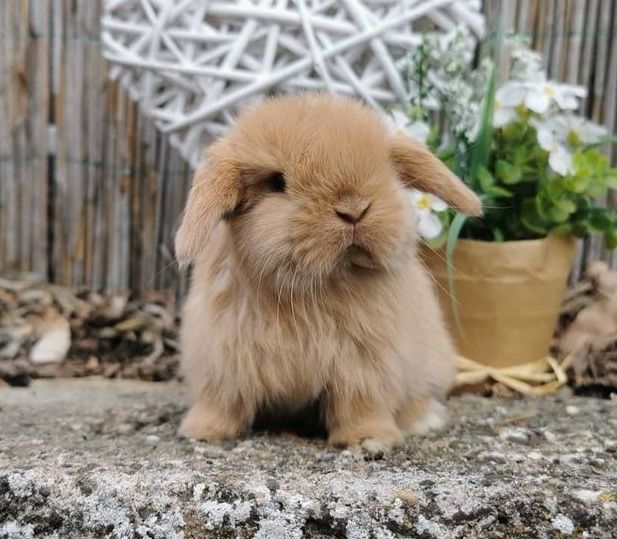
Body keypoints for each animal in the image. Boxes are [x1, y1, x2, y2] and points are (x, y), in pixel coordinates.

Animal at [174, 94, 482, 452]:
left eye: (385, 169)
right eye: (276, 182)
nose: (354, 209)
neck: (318, 288)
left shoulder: (365, 365)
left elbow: (361, 404)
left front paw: (368, 439)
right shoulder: (223, 359)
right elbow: (222, 401)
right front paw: (203, 431)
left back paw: (423, 420)